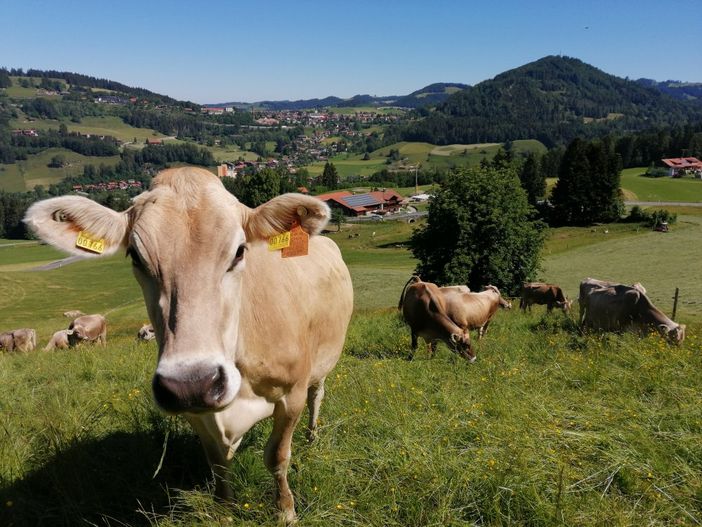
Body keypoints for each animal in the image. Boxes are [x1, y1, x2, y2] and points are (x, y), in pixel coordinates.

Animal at [24, 166, 354, 524]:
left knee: (316, 396)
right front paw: (224, 511)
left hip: (321, 364)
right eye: (135, 256)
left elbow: (277, 456)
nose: (192, 383)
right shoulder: (195, 412)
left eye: (240, 250)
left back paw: (312, 435)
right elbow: (217, 464)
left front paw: (285, 511)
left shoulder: (291, 394)